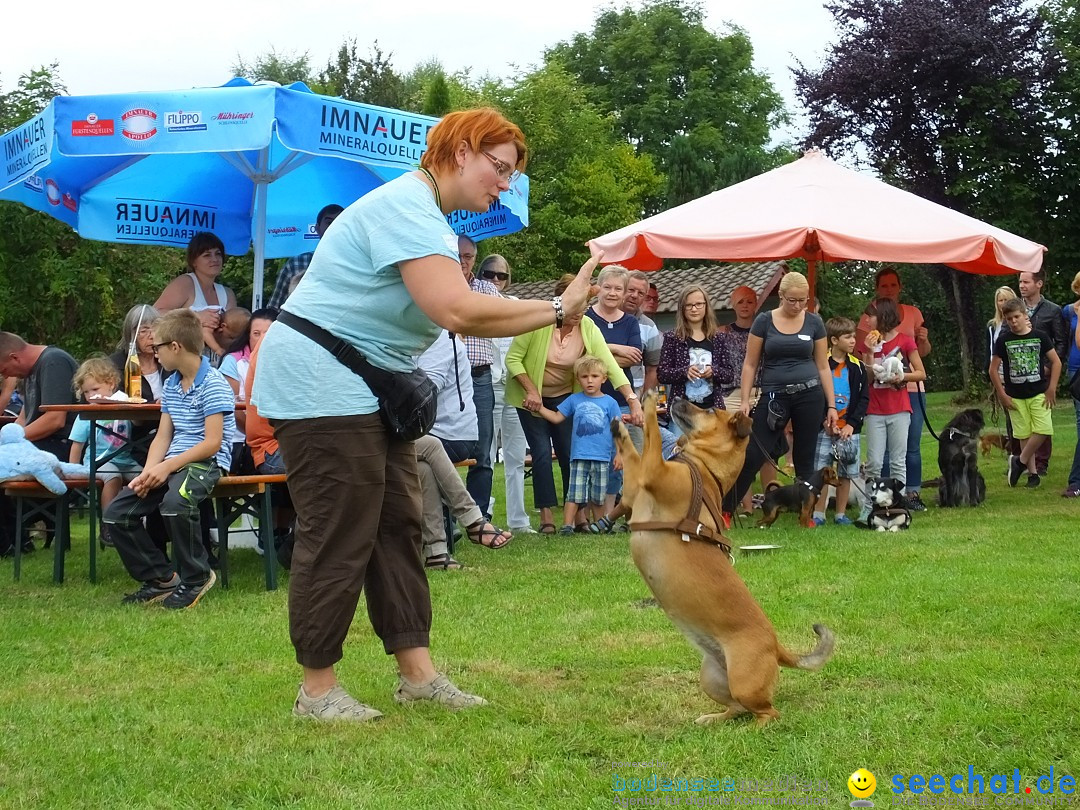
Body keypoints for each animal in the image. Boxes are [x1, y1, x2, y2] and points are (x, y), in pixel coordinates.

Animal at [609, 395, 833, 730]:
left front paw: (647, 405)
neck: (703, 469)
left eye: (711, 409)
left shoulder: (652, 472)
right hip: (711, 677)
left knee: (768, 712)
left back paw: (753, 730)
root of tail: (776, 647)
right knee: (737, 708)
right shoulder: (635, 486)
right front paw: (621, 428)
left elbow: (651, 438)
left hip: (743, 680)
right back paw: (713, 719)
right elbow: (634, 452)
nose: (676, 397)